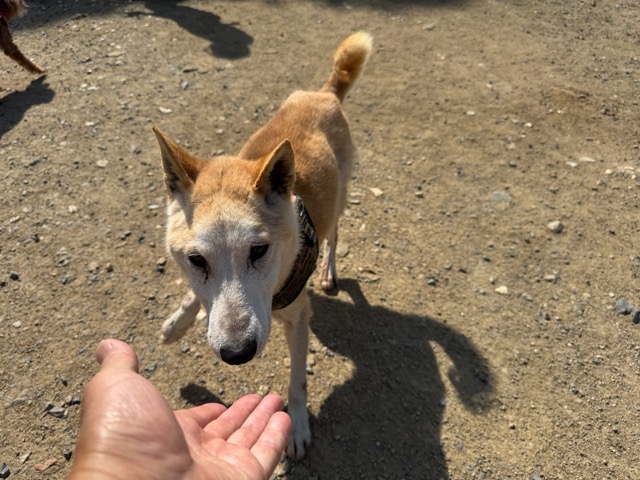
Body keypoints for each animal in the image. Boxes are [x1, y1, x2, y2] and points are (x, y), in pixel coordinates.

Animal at [153, 31, 372, 460]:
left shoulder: (299, 318)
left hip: (340, 199)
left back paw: (328, 270)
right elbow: (194, 296)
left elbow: (298, 384)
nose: (237, 354)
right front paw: (176, 324)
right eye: (196, 259)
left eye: (258, 251)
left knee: (335, 235)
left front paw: (297, 428)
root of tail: (325, 92)